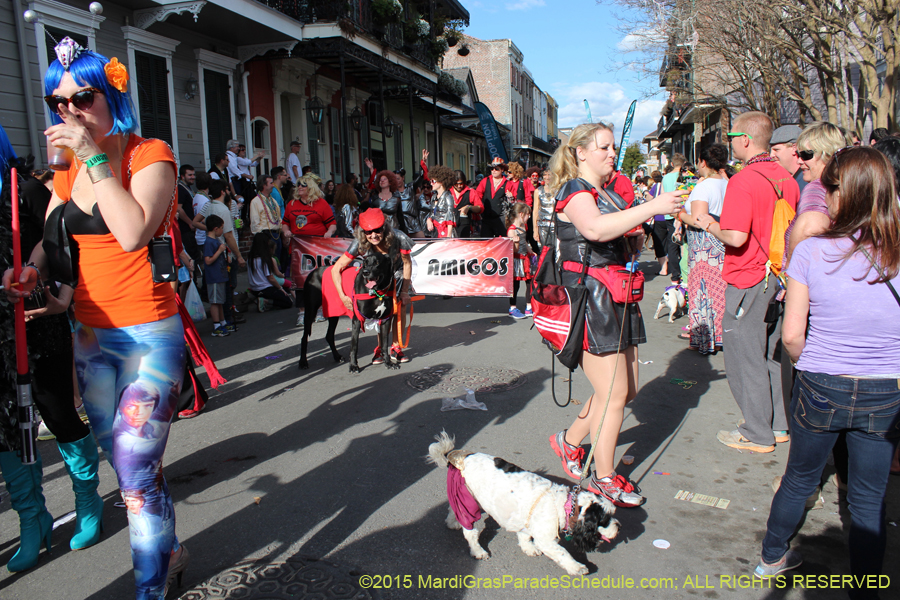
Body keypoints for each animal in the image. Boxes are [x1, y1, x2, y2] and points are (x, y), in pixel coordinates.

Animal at [428, 432, 620, 576]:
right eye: (604, 521)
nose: (618, 526)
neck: (565, 505)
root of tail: (456, 456)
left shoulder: (525, 519)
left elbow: (525, 536)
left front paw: (528, 547)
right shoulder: (546, 539)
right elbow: (562, 553)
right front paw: (577, 566)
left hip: (463, 496)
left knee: (452, 509)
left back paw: (452, 522)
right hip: (469, 503)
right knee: (471, 533)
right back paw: (478, 551)